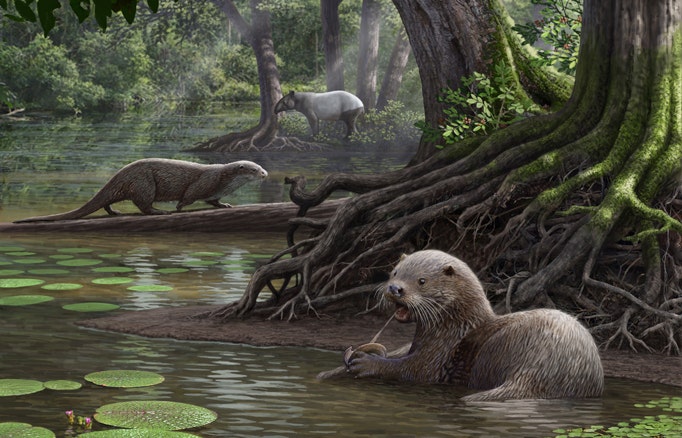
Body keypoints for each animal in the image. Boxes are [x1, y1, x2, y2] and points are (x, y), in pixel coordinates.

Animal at [15, 158, 267, 223]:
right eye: (254, 169)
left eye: (260, 167)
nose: (265, 174)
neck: (224, 179)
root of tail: (119, 174)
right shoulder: (205, 182)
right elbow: (188, 196)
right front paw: (178, 207)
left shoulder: (215, 191)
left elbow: (214, 201)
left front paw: (225, 204)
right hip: (144, 184)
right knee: (144, 205)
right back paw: (160, 211)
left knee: (108, 202)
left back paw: (115, 212)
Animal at [343, 250, 604, 402]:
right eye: (395, 272)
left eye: (421, 280)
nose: (395, 288)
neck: (455, 326)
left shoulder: (440, 355)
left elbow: (414, 370)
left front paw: (366, 363)